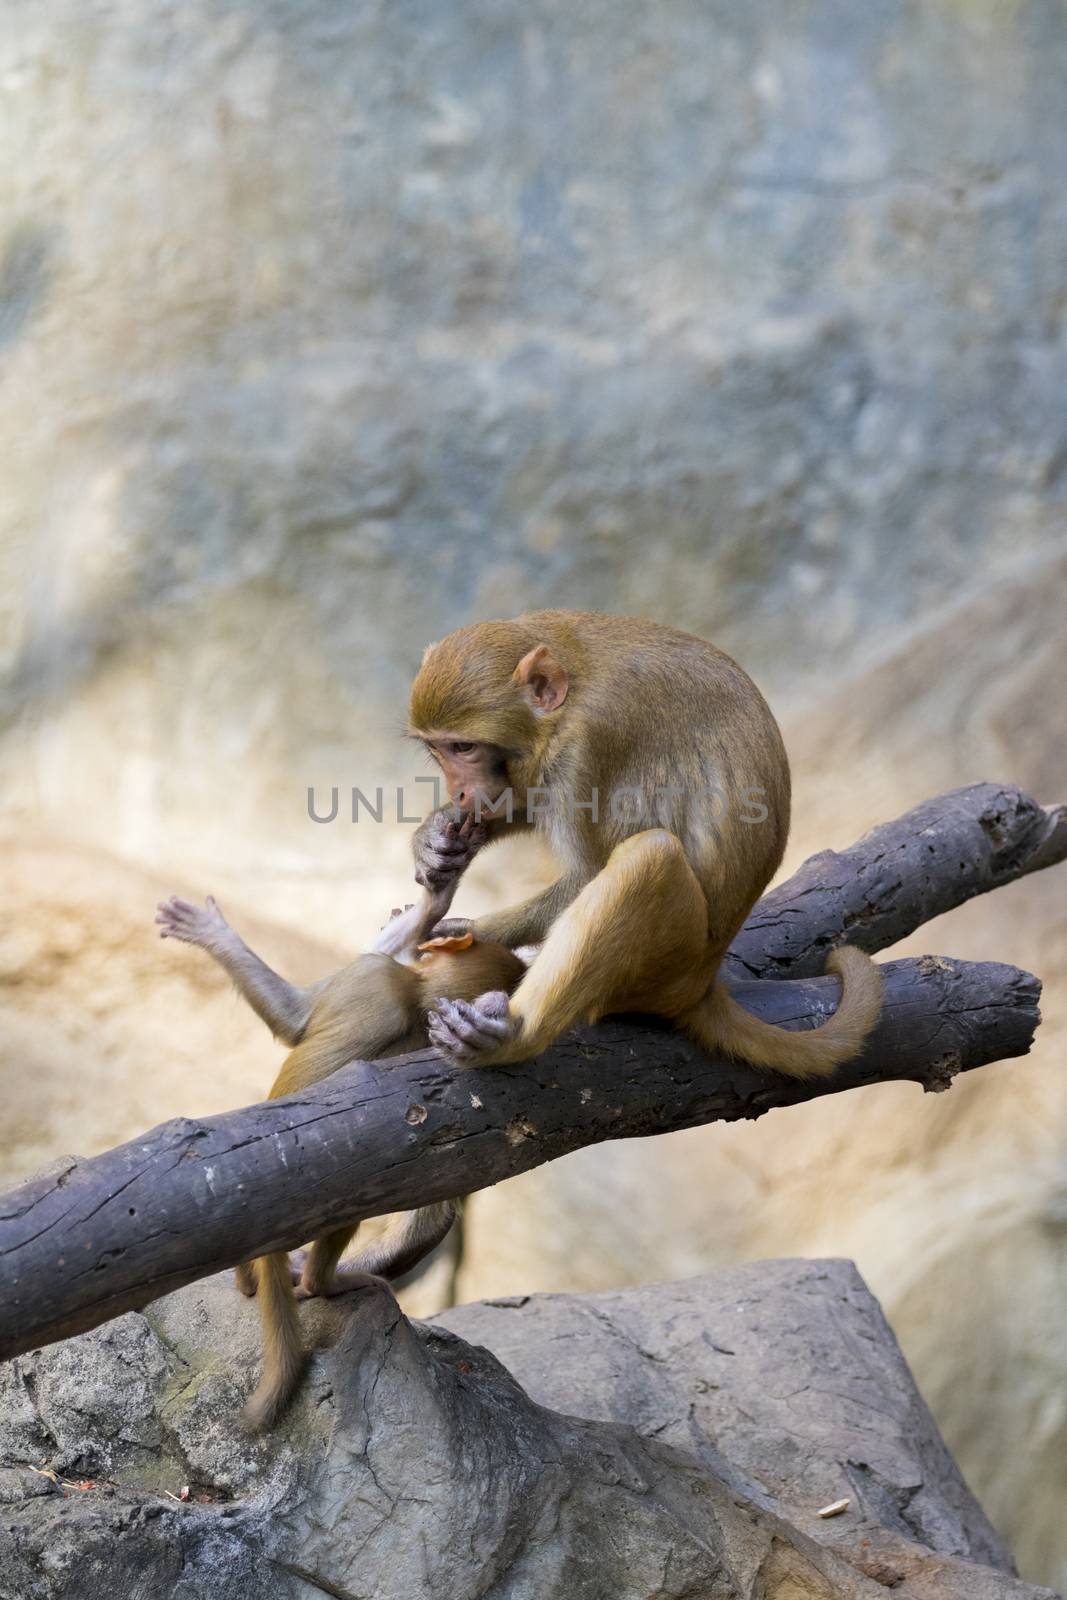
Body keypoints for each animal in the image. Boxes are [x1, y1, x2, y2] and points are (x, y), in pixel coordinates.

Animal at [158, 819, 524, 1433]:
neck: (414, 999)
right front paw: (435, 895)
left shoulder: (369, 978)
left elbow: (296, 1017)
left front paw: (215, 935)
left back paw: (315, 1282)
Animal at [412, 611, 883, 1075]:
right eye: (438, 750)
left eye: (464, 746)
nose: (457, 791)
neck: (566, 699)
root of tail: (700, 986)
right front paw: (436, 836)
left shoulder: (590, 744)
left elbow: (589, 871)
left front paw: (475, 930)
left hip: (665, 967)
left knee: (651, 856)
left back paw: (516, 1039)